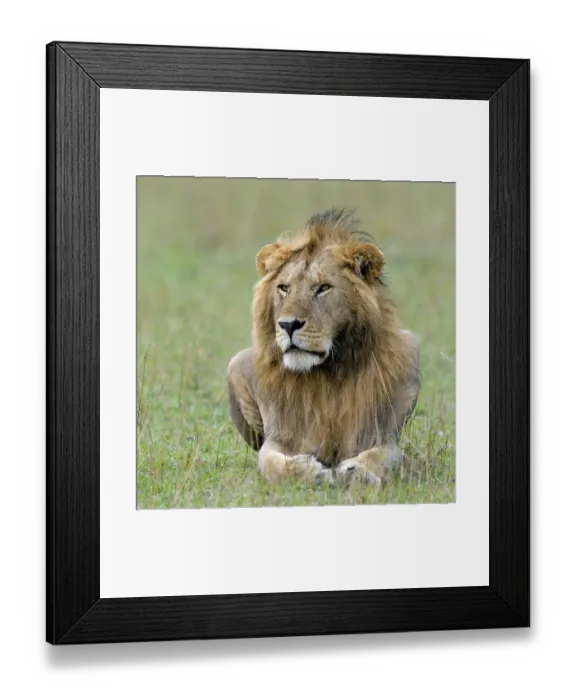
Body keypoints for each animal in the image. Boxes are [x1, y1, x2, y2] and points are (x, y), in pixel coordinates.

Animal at [227, 208, 420, 487]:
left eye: (323, 288)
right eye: (284, 288)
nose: (288, 324)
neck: (326, 374)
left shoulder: (382, 436)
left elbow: (381, 456)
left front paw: (358, 472)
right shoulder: (277, 438)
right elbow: (272, 463)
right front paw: (310, 472)